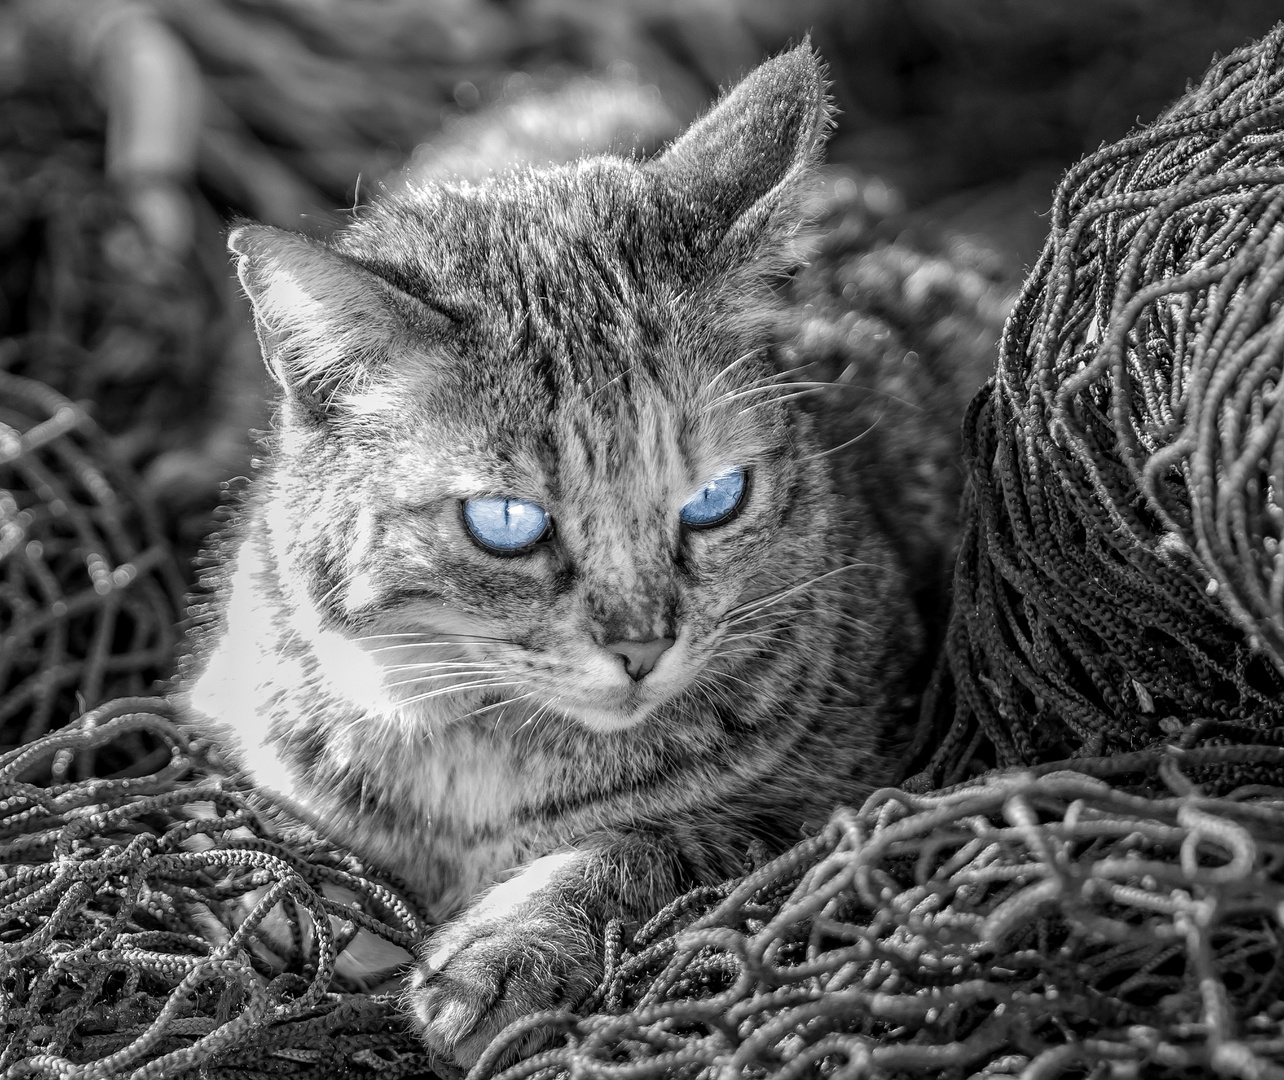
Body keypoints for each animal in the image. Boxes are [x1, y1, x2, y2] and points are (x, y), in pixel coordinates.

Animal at [178, 46, 924, 1068]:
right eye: (506, 520)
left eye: (714, 500)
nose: (643, 646)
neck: (477, 745)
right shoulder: (224, 708)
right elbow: (235, 806)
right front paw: (284, 882)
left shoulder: (857, 780)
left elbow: (653, 847)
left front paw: (505, 948)